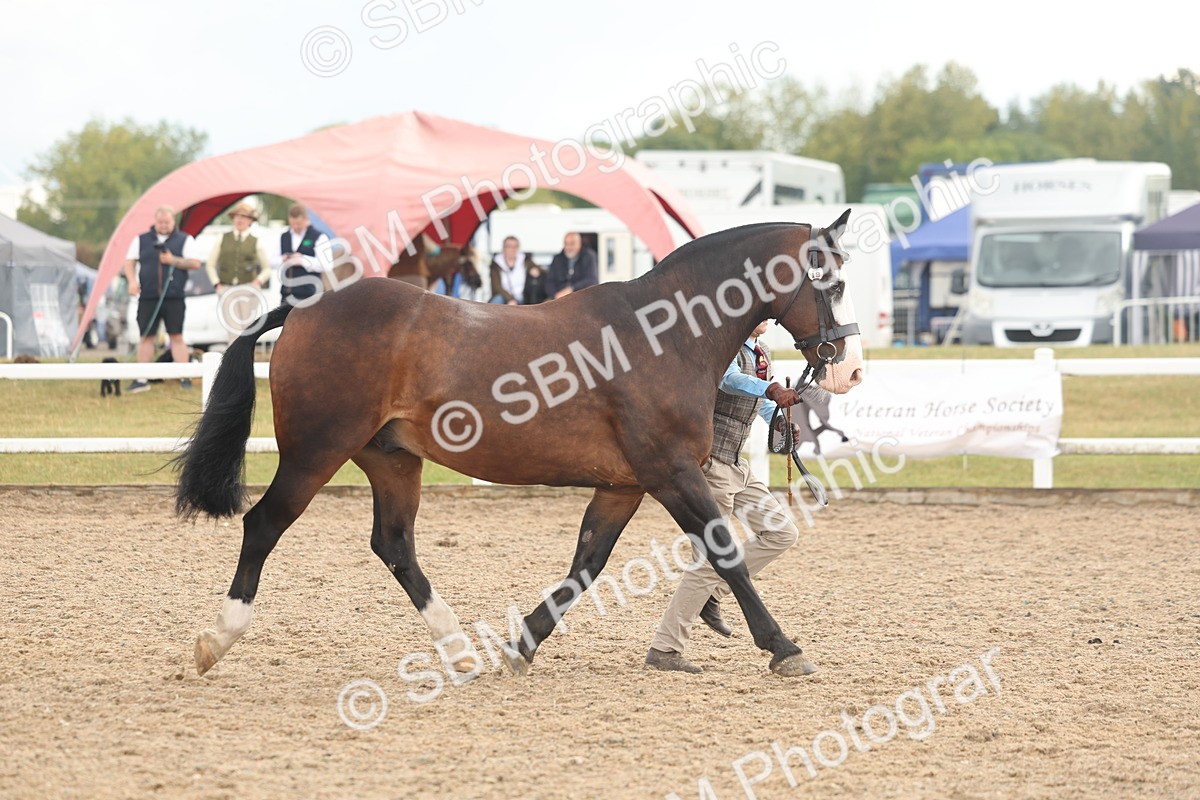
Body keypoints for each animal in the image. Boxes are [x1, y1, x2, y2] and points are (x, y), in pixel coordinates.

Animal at [175, 210, 865, 679]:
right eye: (830, 283)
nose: (851, 371)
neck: (661, 336)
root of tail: (304, 308)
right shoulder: (670, 473)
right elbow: (726, 554)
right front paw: (784, 648)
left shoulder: (624, 485)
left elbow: (586, 565)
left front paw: (522, 644)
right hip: (315, 452)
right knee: (264, 525)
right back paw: (217, 639)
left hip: (391, 458)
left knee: (393, 545)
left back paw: (458, 649)